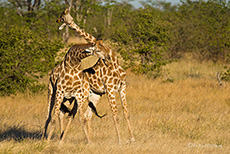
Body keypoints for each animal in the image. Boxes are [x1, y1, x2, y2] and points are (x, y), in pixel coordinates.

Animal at [57, 8, 135, 143]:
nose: (60, 22)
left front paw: (132, 138)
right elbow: (115, 115)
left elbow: (126, 113)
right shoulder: (110, 89)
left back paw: (88, 140)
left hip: (94, 95)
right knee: (71, 114)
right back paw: (63, 140)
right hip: (81, 96)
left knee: (86, 115)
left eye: (65, 17)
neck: (114, 61)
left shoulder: (122, 87)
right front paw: (120, 140)